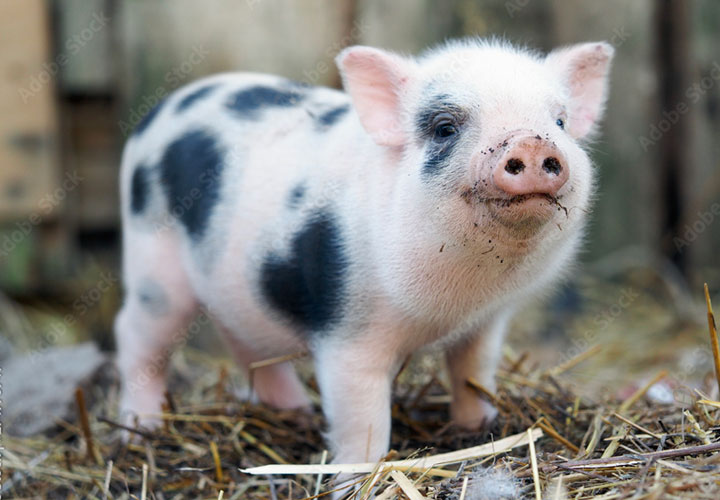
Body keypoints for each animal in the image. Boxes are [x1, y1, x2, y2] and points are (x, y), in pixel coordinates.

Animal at [116, 38, 613, 472]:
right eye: (444, 128)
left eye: (560, 122)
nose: (531, 142)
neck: (462, 296)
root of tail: (159, 111)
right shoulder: (346, 332)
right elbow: (362, 419)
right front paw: (358, 476)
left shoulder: (486, 324)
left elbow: (472, 373)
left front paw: (479, 429)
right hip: (153, 265)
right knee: (136, 335)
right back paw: (140, 429)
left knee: (243, 340)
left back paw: (297, 413)